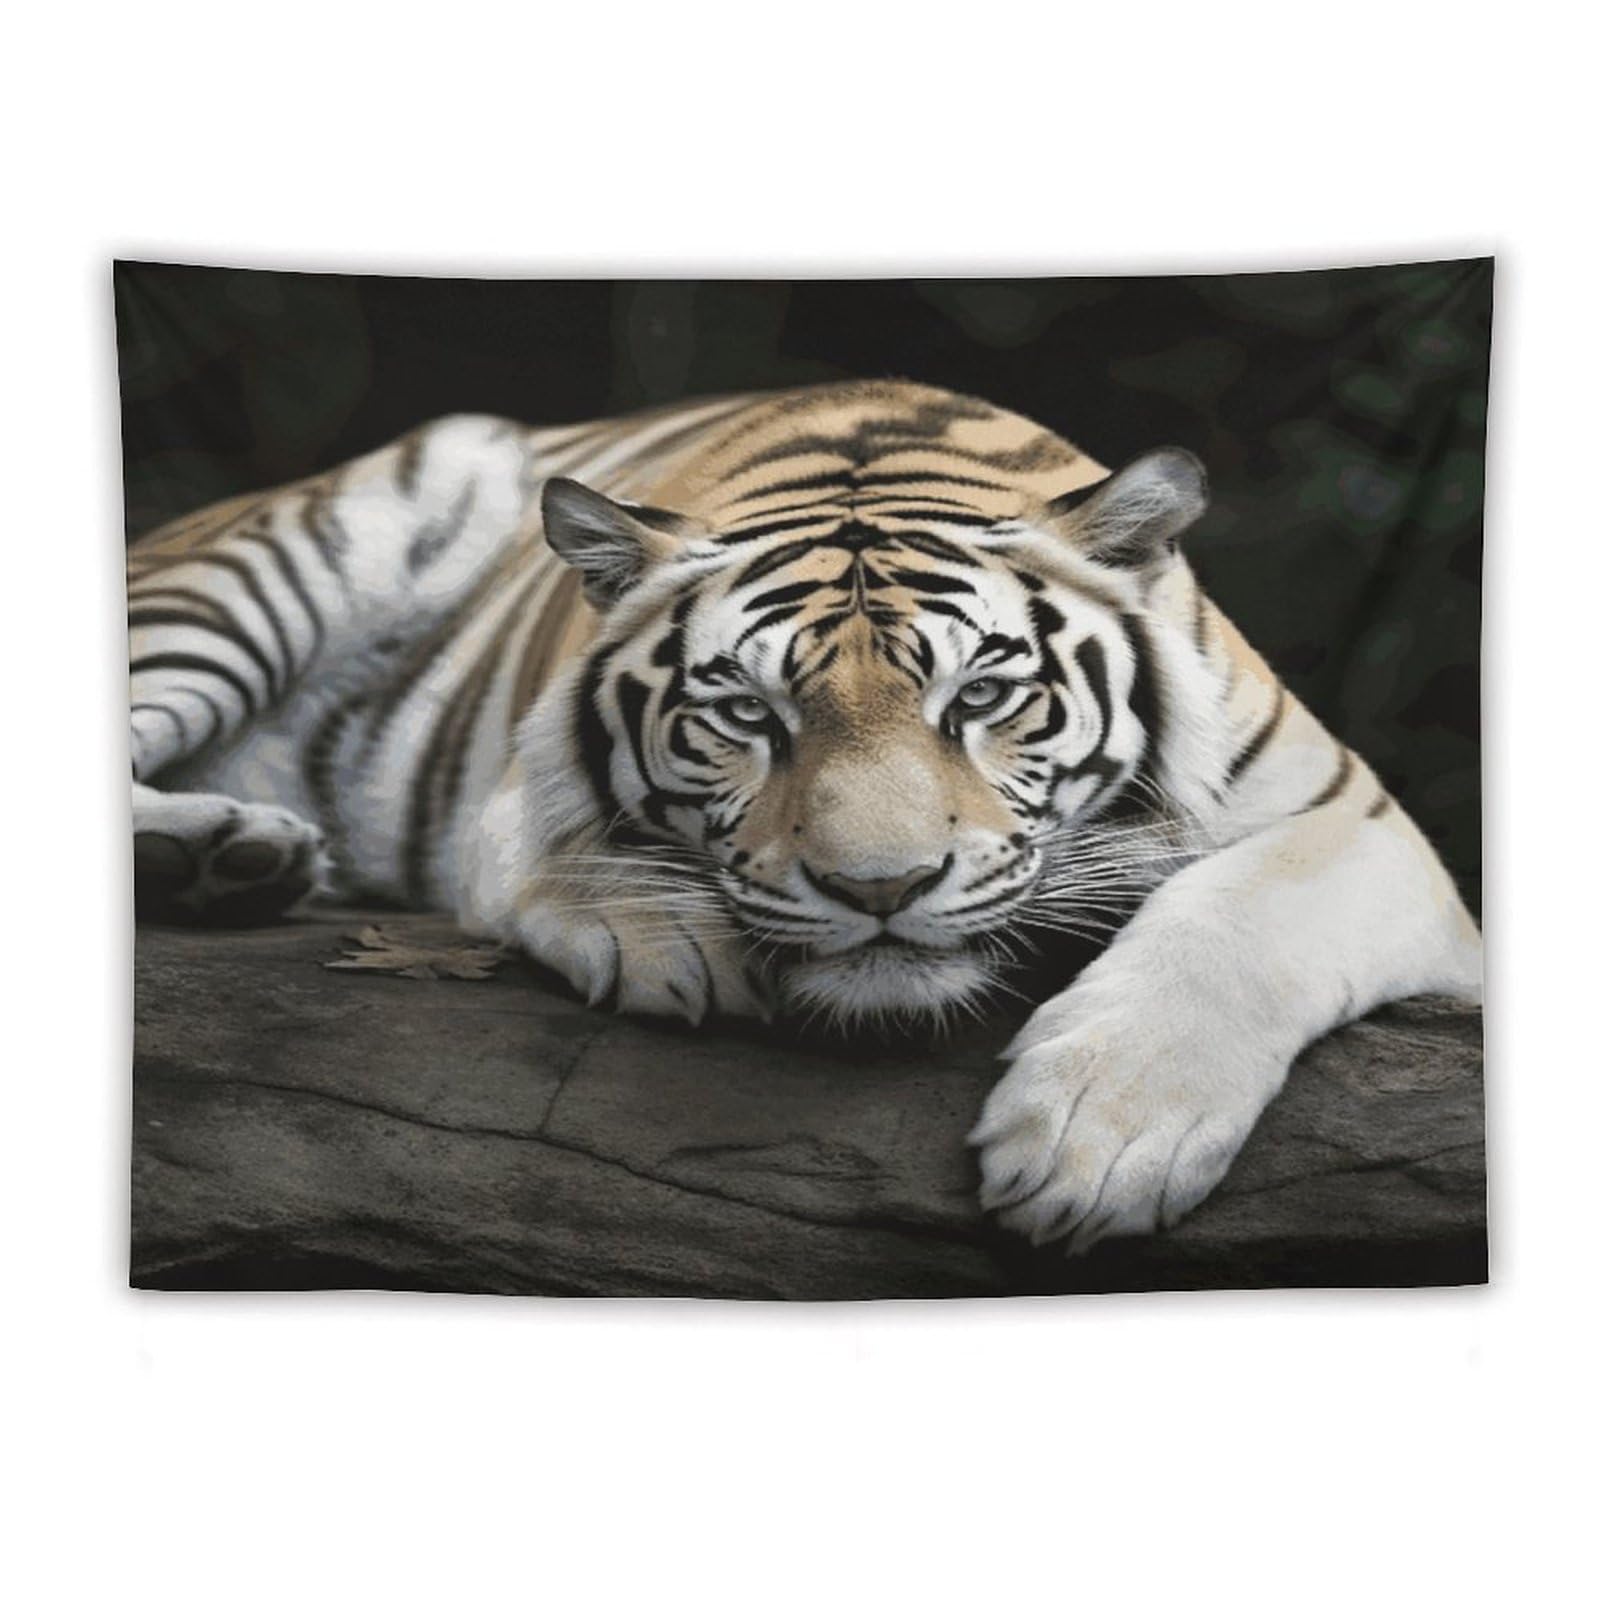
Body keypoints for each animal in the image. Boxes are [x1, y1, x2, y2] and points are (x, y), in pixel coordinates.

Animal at [127, 378, 1483, 1253]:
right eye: (746, 711)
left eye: (979, 696)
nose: (878, 889)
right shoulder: (514, 781)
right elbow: (562, 848)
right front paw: (671, 939)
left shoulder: (1363, 822)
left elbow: (1245, 915)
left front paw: (1097, 1142)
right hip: (263, 564)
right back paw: (219, 854)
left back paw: (230, 858)